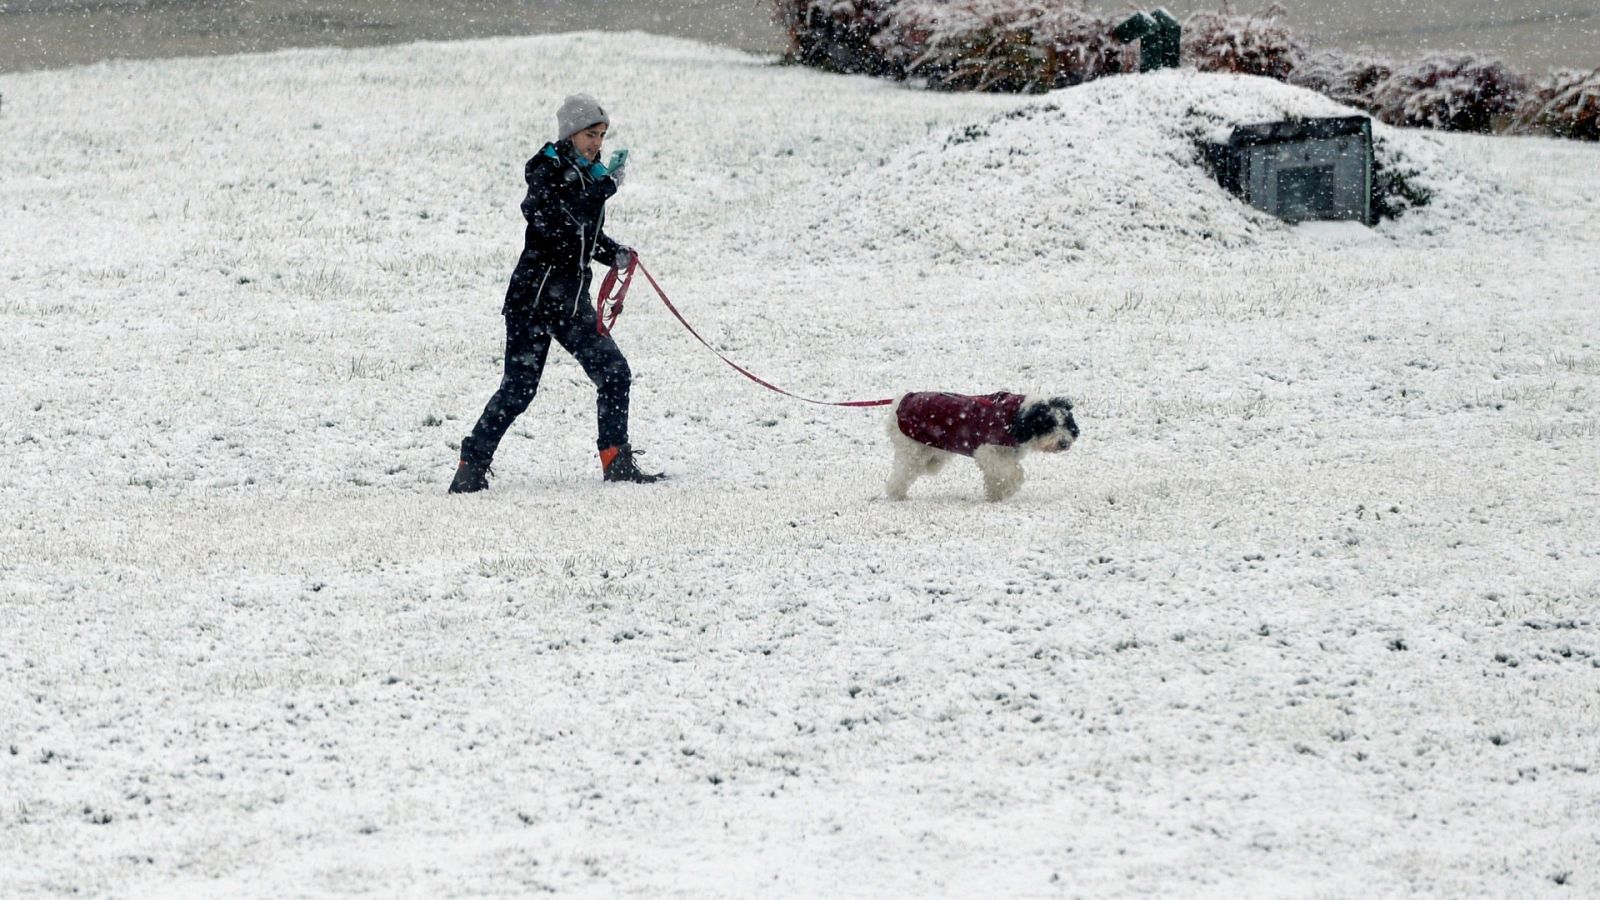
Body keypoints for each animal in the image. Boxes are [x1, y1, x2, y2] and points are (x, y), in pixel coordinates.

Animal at [889, 390, 1075, 499]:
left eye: (1066, 423)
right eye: (1048, 425)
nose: (1064, 443)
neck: (1015, 417)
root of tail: (898, 403)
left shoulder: (1003, 455)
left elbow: (997, 476)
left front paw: (996, 495)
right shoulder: (989, 451)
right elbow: (1012, 472)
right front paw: (1007, 489)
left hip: (934, 453)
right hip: (913, 451)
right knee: (900, 474)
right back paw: (897, 494)